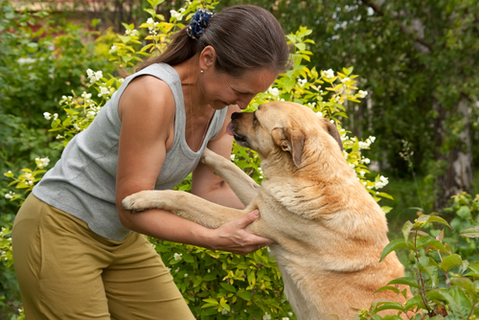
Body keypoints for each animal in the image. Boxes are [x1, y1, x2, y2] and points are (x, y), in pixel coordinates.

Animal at [122, 100, 410, 320]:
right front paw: (203, 152)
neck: (311, 172)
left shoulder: (248, 218)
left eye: (257, 118)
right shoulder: (260, 199)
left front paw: (139, 198)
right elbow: (228, 166)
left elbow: (185, 198)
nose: (233, 114)